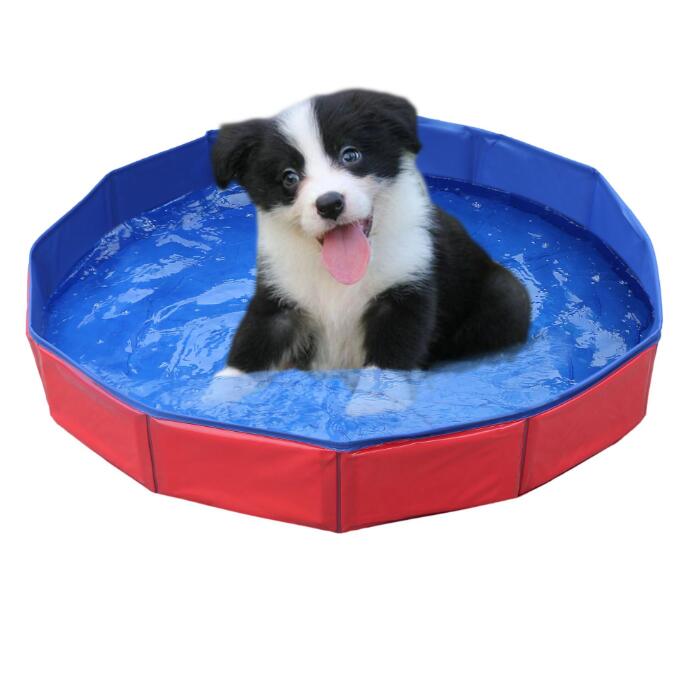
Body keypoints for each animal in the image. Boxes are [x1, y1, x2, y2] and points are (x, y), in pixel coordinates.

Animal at [211, 89, 530, 374]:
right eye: (289, 177)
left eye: (350, 155)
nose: (330, 204)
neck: (338, 278)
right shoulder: (280, 297)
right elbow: (249, 351)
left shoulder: (405, 289)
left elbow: (386, 371)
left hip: (506, 295)